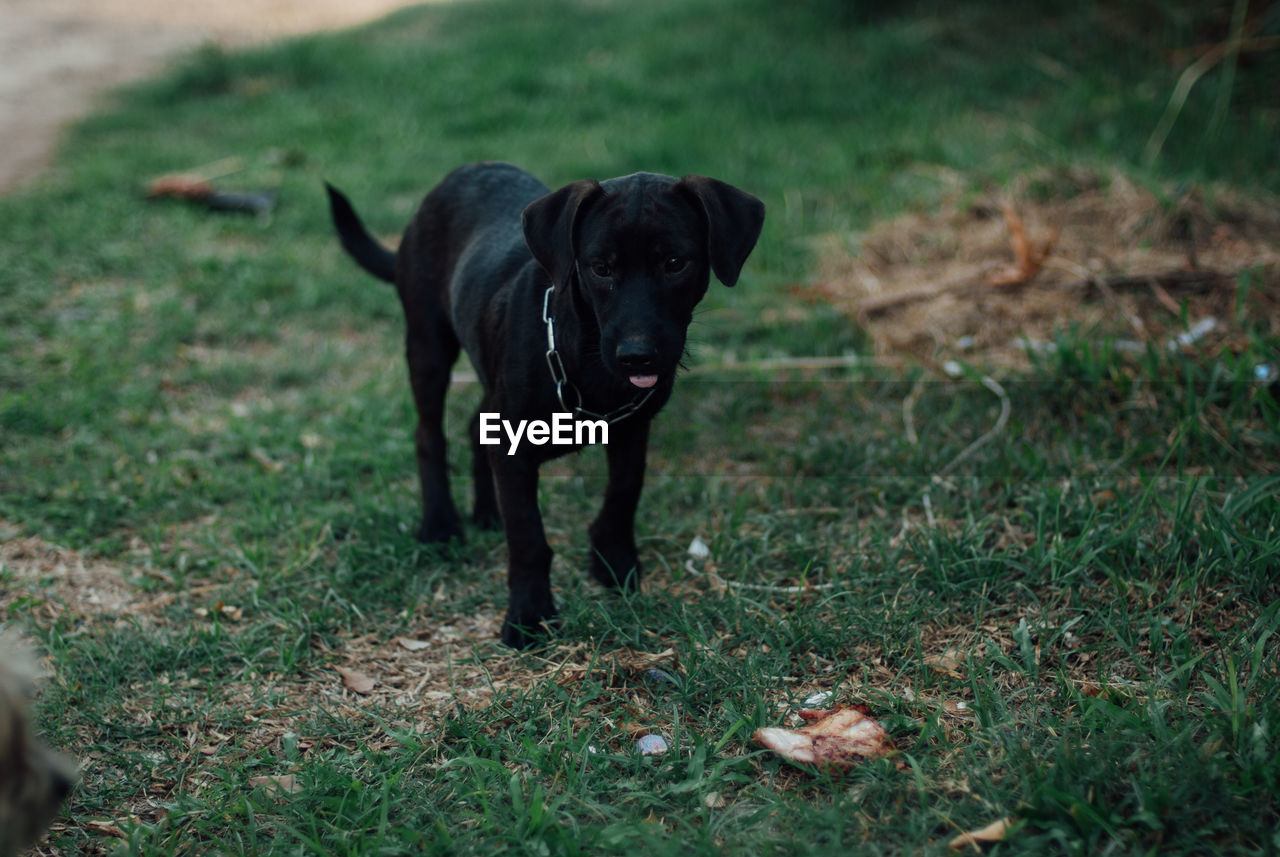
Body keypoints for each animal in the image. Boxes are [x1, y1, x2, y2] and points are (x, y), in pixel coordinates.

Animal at [327, 161, 757, 647]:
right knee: (428, 434)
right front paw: (528, 617)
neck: (585, 356)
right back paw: (440, 525)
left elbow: (624, 492)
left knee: (475, 425)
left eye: (674, 263)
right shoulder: (513, 451)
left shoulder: (632, 429)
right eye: (600, 268)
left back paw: (485, 512)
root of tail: (463, 171)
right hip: (427, 342)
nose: (637, 356)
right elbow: (529, 537)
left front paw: (614, 563)